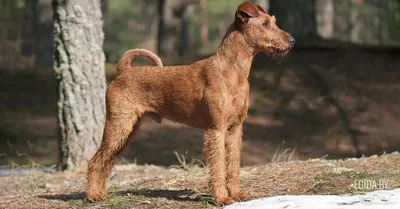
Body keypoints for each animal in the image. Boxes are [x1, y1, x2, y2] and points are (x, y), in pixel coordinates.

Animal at [86, 1, 294, 206]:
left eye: (273, 22)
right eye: (265, 24)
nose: (292, 40)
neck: (232, 71)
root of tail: (123, 71)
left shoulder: (235, 129)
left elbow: (234, 164)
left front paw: (236, 194)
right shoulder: (216, 129)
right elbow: (218, 166)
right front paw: (222, 197)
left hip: (128, 129)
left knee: (107, 161)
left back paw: (101, 193)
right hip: (118, 125)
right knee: (95, 160)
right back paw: (92, 195)